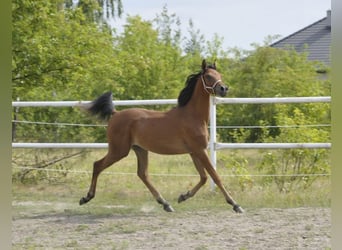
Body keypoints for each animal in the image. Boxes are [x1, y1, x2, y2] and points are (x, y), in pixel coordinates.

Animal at [79, 60, 243, 213]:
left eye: (219, 75)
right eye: (208, 76)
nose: (223, 89)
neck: (192, 116)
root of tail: (116, 113)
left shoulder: (194, 151)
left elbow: (204, 177)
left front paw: (183, 196)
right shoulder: (199, 151)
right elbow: (215, 176)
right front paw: (235, 205)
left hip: (140, 149)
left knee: (142, 174)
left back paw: (165, 203)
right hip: (118, 150)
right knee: (97, 165)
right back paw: (86, 197)